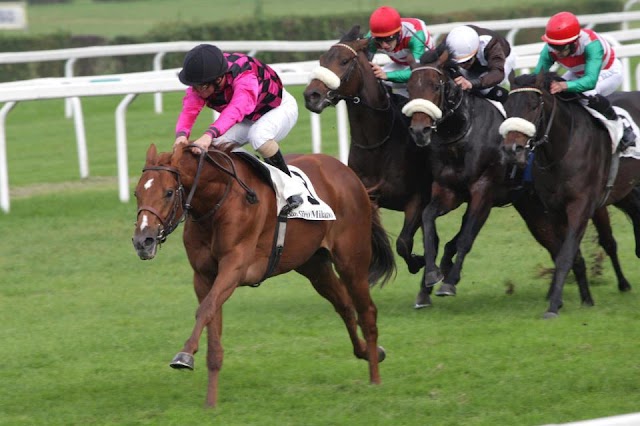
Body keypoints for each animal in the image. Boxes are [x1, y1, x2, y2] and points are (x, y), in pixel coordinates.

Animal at [132, 143, 396, 406]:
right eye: (136, 193)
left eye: (168, 192)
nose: (142, 241)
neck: (216, 201)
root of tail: (349, 174)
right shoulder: (204, 276)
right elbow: (211, 321)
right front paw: (210, 401)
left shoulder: (235, 267)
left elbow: (205, 309)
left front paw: (185, 354)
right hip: (314, 266)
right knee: (345, 306)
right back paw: (368, 352)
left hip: (352, 261)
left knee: (367, 312)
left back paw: (375, 378)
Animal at [304, 25, 436, 306]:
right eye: (321, 60)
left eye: (344, 61)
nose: (311, 96)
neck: (378, 142)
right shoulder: (365, 196)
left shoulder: (418, 197)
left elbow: (404, 243)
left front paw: (418, 262)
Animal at [500, 73, 640, 318]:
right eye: (507, 106)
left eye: (534, 105)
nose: (511, 150)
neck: (562, 149)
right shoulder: (554, 209)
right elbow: (571, 255)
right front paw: (585, 299)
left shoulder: (580, 206)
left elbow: (566, 253)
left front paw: (553, 305)